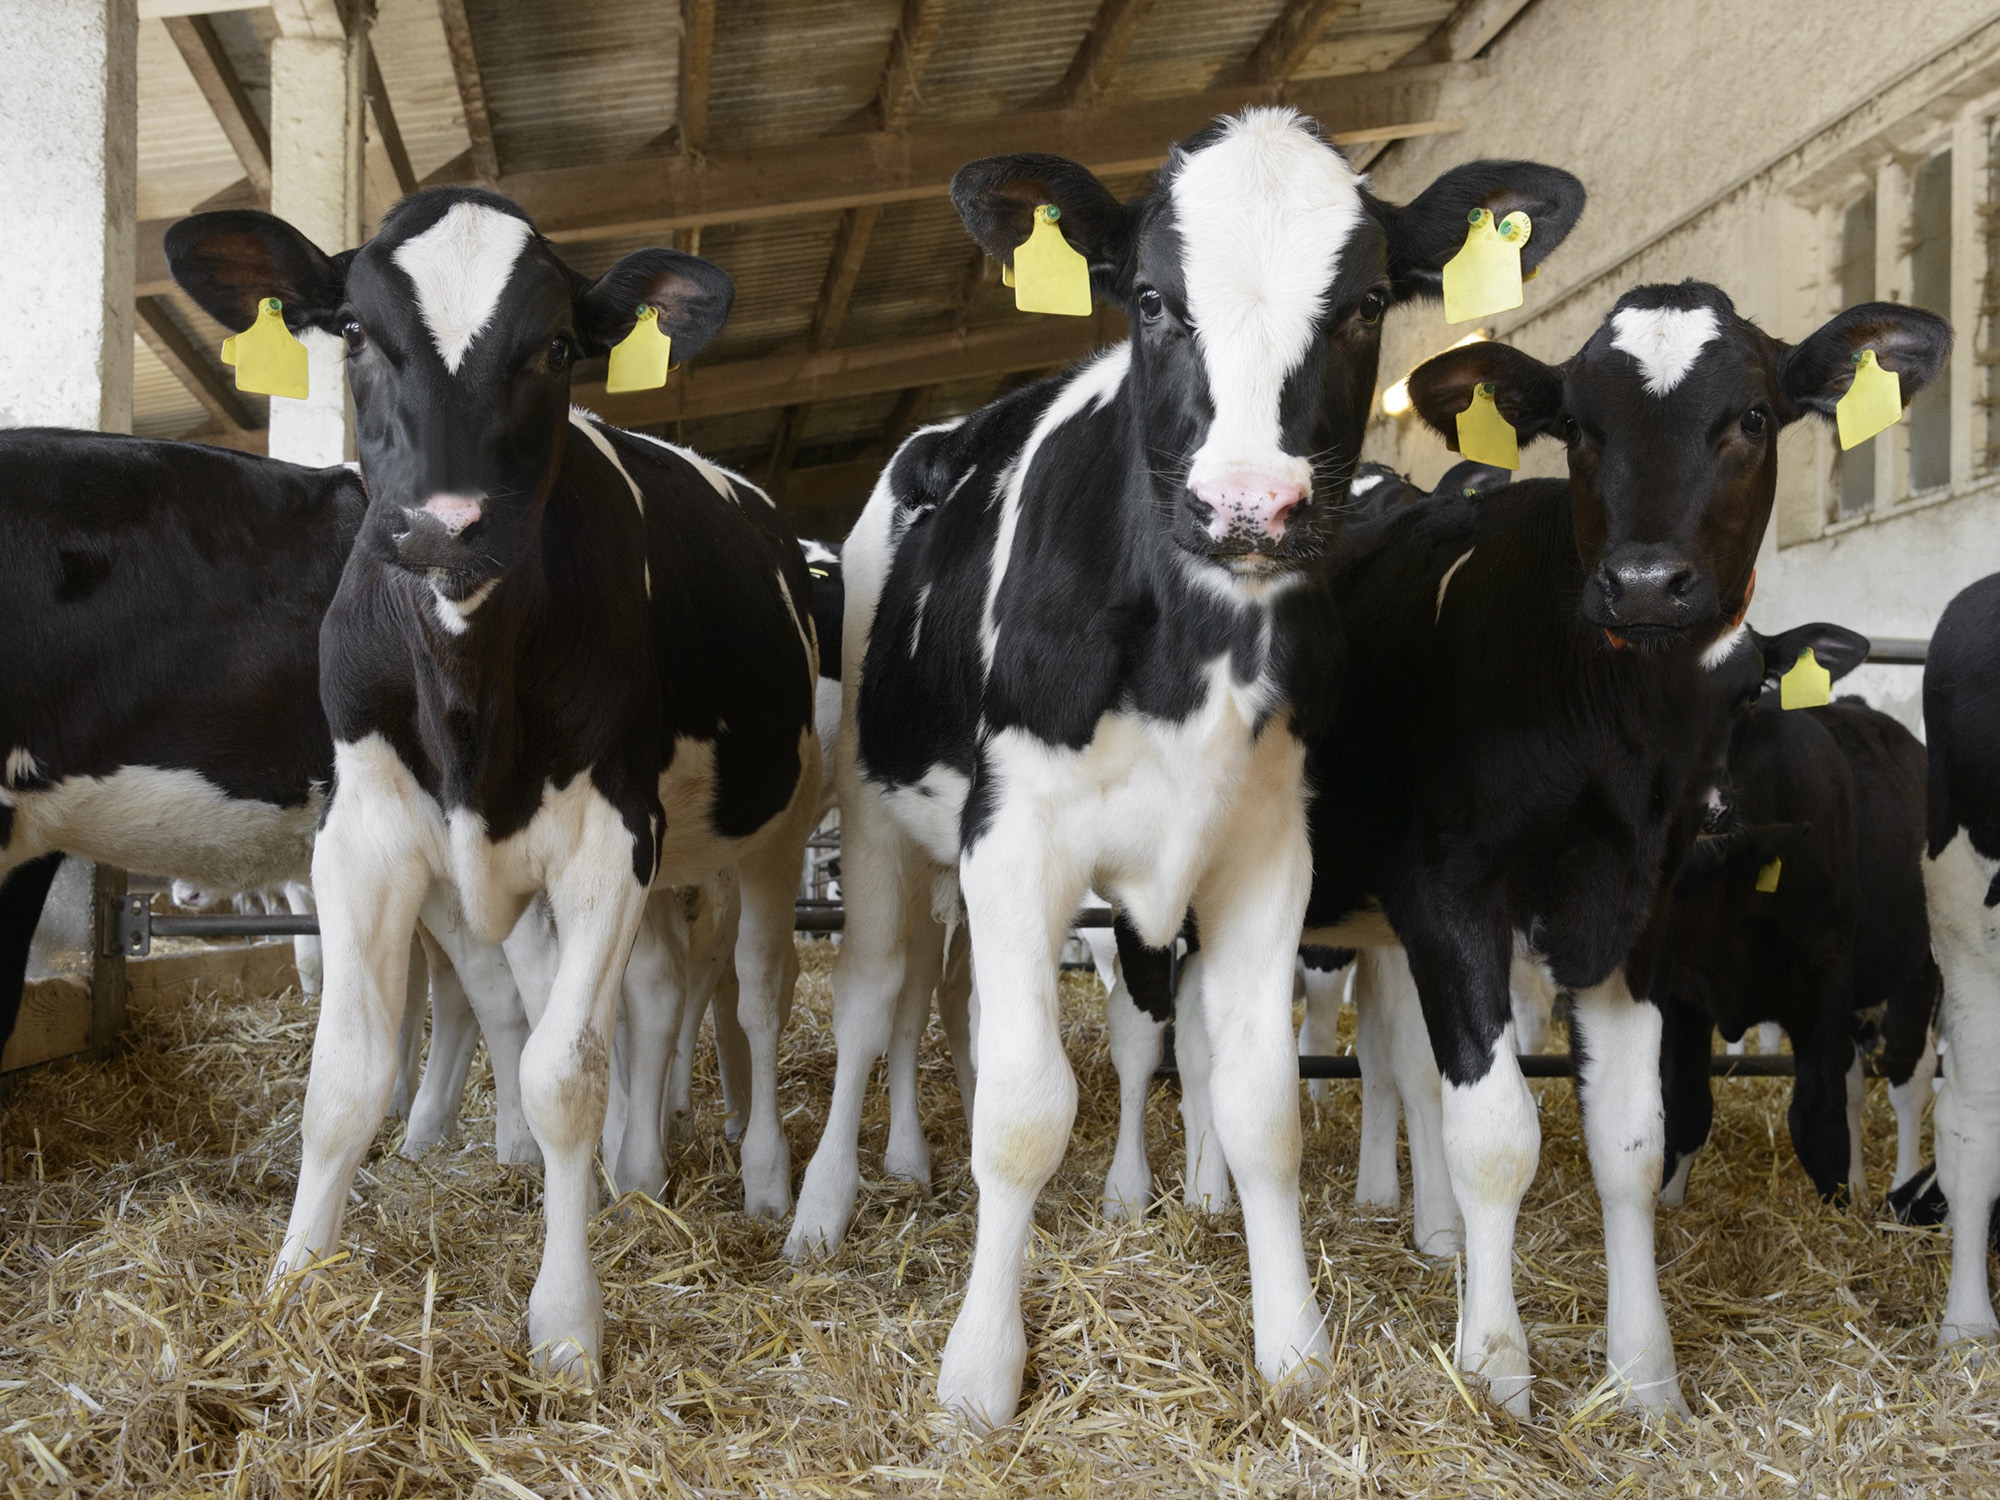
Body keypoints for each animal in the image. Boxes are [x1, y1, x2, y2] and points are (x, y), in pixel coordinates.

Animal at [172, 182, 824, 1384]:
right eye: (353, 332)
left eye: (557, 346)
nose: (447, 523)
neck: (469, 688)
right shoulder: (363, 838)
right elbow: (345, 1076)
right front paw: (293, 1290)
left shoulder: (612, 839)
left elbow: (563, 1078)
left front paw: (566, 1323)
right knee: (653, 989)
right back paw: (635, 1172)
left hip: (776, 826)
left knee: (754, 991)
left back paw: (759, 1179)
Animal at [788, 111, 1584, 1424]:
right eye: (1154, 300)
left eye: (1366, 302)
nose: (1249, 508)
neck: (1188, 648)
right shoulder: (1013, 842)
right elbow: (1021, 1112)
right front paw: (979, 1369)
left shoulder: (1264, 857)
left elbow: (1260, 1108)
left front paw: (1293, 1348)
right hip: (875, 815)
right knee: (871, 1004)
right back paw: (819, 1206)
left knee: (951, 1005)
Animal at [1280, 284, 1952, 1424]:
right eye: (1578, 431)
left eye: (1753, 417)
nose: (1642, 583)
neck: (1609, 722)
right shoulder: (1450, 898)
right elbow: (1496, 1134)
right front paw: (1496, 1366)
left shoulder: (1632, 916)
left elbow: (1633, 1141)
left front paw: (1643, 1374)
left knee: (1383, 1059)